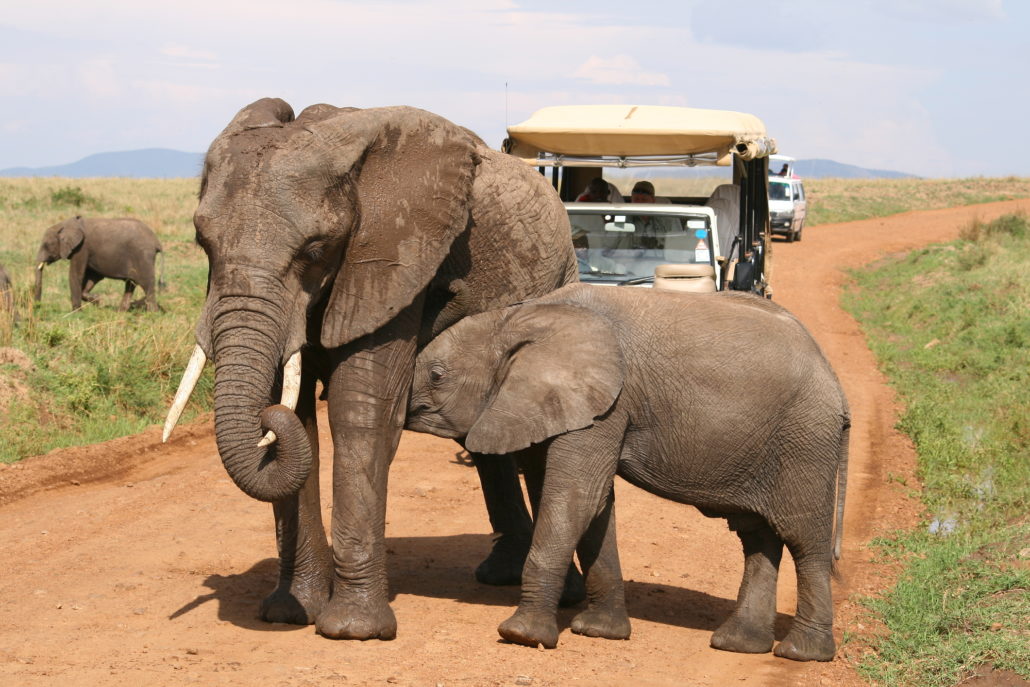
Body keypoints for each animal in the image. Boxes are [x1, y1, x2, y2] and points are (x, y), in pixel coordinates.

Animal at [34, 216, 162, 312]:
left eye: (46, 245)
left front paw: (76, 312)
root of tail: (156, 241)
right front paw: (98, 300)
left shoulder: (82, 248)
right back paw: (121, 312)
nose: (38, 307)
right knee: (131, 284)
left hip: (143, 257)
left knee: (147, 285)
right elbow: (93, 277)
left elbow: (76, 275)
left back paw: (152, 313)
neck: (67, 224)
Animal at [162, 98, 581, 640]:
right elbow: (297, 420)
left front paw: (352, 630)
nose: (451, 291)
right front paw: (290, 611)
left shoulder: (395, 259)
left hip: (557, 276)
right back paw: (501, 573)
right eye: (202, 243)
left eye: (315, 250)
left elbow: (359, 412)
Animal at [406, 283, 850, 661]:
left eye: (437, 375)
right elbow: (596, 506)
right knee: (758, 537)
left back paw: (801, 653)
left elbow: (576, 497)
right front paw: (599, 631)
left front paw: (522, 636)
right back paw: (737, 644)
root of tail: (835, 381)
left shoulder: (605, 405)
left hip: (805, 442)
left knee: (804, 539)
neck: (517, 316)